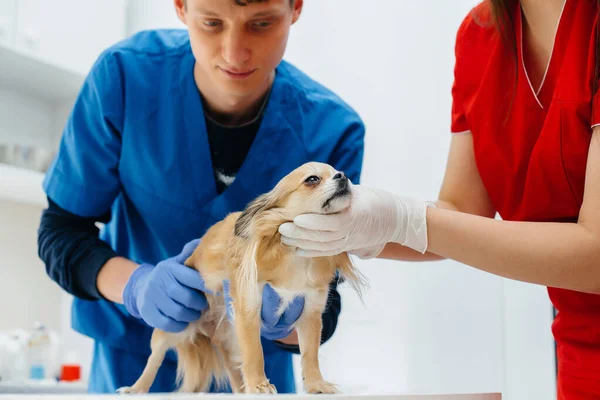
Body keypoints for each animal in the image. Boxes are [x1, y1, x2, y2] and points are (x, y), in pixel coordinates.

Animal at [117, 162, 366, 394]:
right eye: (312, 179)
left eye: (338, 171)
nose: (343, 175)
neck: (294, 255)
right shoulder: (248, 310)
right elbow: (255, 353)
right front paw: (259, 385)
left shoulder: (310, 315)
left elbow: (310, 355)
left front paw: (316, 384)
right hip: (174, 326)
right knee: (154, 359)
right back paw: (136, 388)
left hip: (229, 340)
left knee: (236, 371)